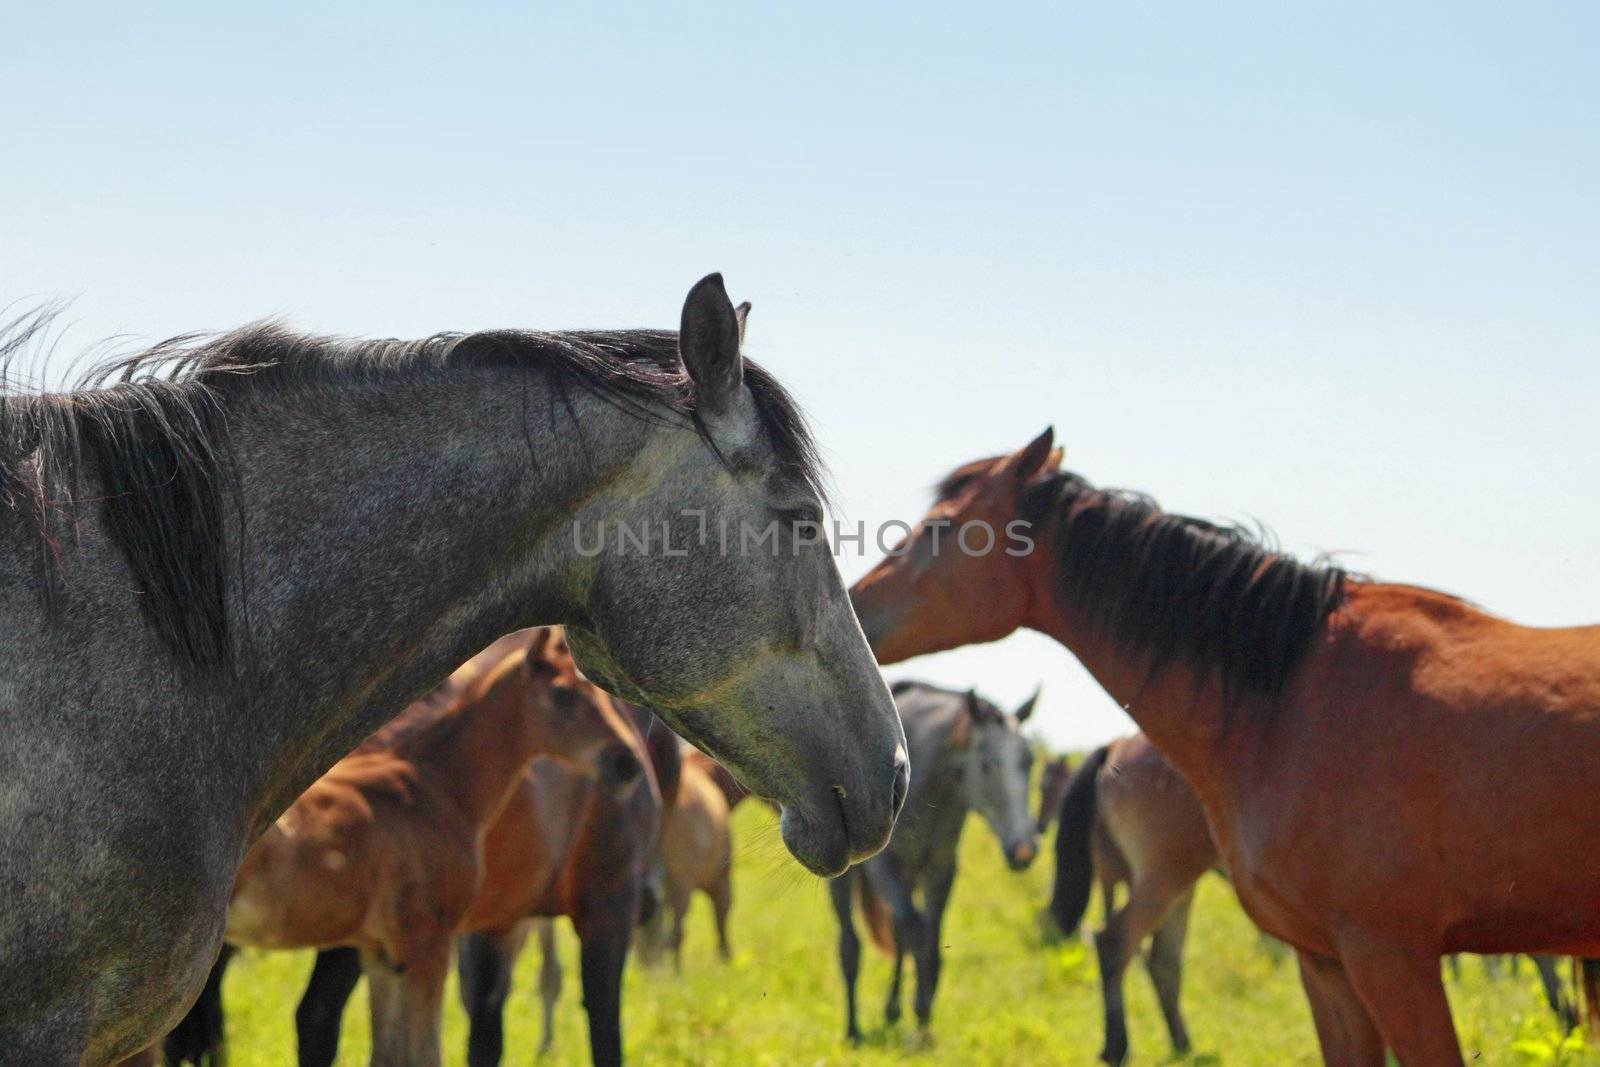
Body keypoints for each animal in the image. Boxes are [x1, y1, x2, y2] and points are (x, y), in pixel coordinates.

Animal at [832, 684, 1043, 1043]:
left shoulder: (941, 868)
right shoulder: (884, 867)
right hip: (847, 879)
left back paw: (892, 1011)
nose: (1023, 851)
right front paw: (920, 1012)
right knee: (852, 944)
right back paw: (853, 1029)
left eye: (1028, 761)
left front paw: (924, 1017)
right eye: (986, 764)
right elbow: (917, 931)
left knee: (899, 932)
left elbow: (929, 937)